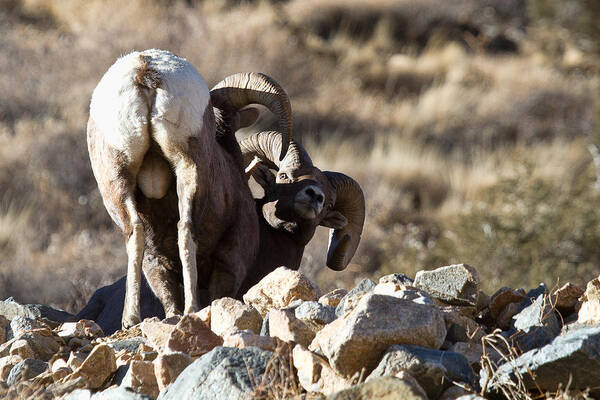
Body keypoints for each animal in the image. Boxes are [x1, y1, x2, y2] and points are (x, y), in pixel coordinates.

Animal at [89, 48, 292, 326]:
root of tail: (145, 69)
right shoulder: (231, 257)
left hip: (116, 179)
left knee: (135, 232)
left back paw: (131, 319)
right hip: (189, 168)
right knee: (185, 228)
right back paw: (191, 308)